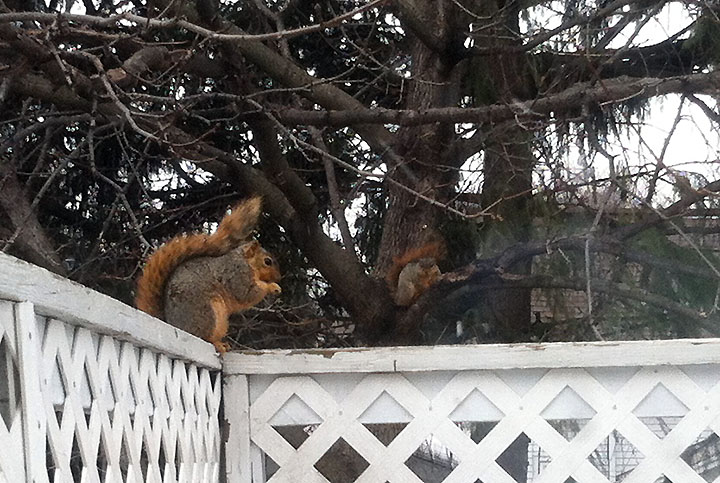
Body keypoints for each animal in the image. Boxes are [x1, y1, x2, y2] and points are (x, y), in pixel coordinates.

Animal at [135, 197, 281, 353]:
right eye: (267, 261)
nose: (279, 277)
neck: (246, 262)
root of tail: (172, 324)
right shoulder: (237, 274)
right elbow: (247, 293)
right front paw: (272, 286)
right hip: (206, 313)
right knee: (204, 337)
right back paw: (217, 344)